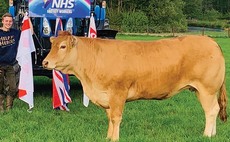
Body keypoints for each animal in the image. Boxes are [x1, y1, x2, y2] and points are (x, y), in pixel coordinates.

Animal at [42, 31, 227, 141]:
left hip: (207, 89)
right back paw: (213, 134)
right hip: (200, 90)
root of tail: (211, 41)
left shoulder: (118, 92)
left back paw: (207, 135)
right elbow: (110, 117)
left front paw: (115, 138)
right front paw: (108, 137)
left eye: (63, 46)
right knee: (214, 109)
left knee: (212, 110)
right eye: (52, 45)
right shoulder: (107, 97)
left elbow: (116, 118)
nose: (45, 62)